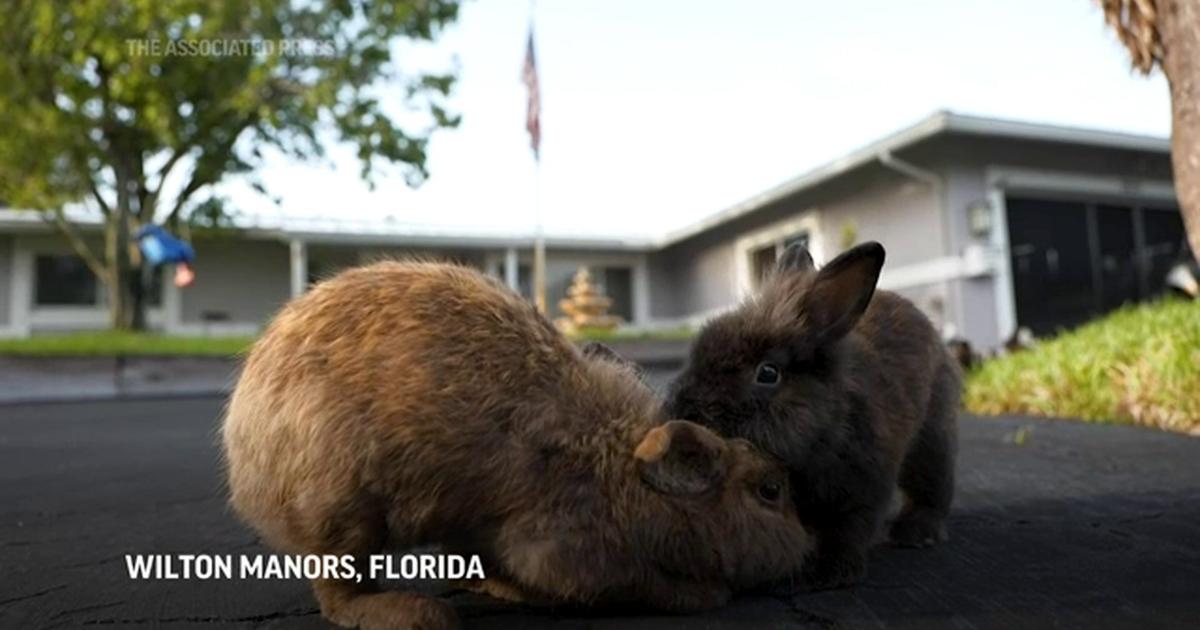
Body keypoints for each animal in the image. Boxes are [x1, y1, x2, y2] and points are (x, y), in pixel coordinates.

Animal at [221, 260, 812, 630]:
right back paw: (417, 614)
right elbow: (637, 585)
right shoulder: (565, 550)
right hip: (343, 510)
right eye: (770, 490)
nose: (809, 547)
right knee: (338, 593)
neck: (624, 473)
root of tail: (244, 461)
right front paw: (704, 594)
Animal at [665, 241, 960, 592]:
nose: (681, 409)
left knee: (933, 484)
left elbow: (847, 532)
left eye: (768, 373)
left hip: (931, 436)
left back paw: (917, 531)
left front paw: (826, 572)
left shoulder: (862, 490)